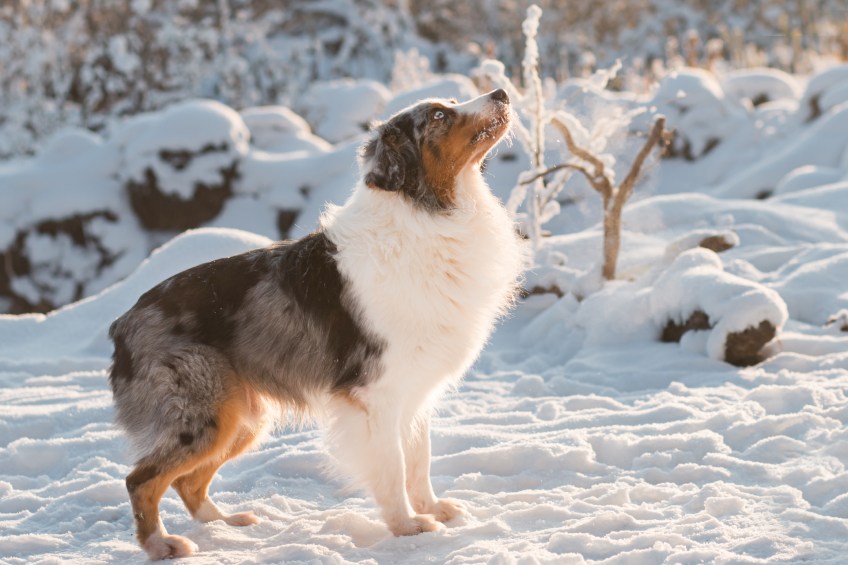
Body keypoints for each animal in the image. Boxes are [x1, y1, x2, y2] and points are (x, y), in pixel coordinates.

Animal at [109, 89, 528, 560]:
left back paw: (227, 525)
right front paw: (407, 527)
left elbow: (419, 460)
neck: (426, 212)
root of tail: (123, 323)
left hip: (241, 418)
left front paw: (432, 509)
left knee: (188, 481)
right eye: (439, 115)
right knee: (142, 479)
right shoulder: (374, 394)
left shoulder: (414, 390)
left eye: (452, 101)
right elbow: (393, 466)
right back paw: (162, 544)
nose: (501, 93)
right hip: (203, 414)